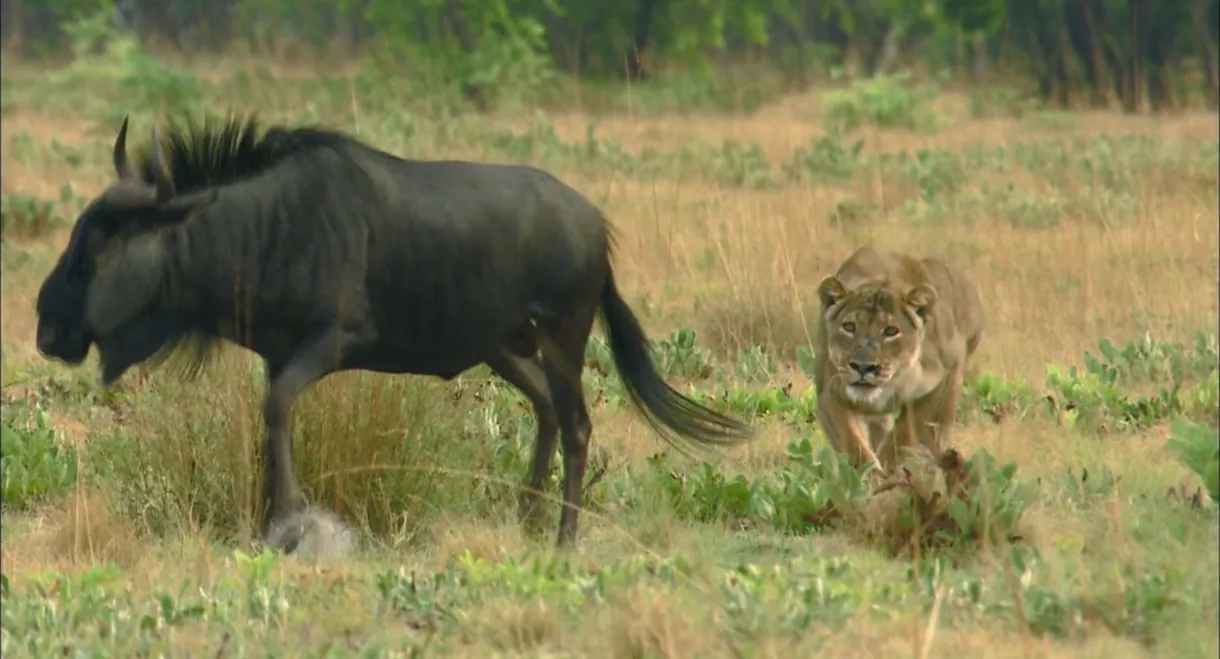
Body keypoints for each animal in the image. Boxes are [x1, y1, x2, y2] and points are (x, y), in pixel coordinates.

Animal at [813, 245, 983, 475]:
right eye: (849, 327)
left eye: (891, 331)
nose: (863, 367)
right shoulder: (829, 391)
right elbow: (853, 444)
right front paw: (870, 475)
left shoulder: (946, 379)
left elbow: (906, 433)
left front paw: (890, 467)